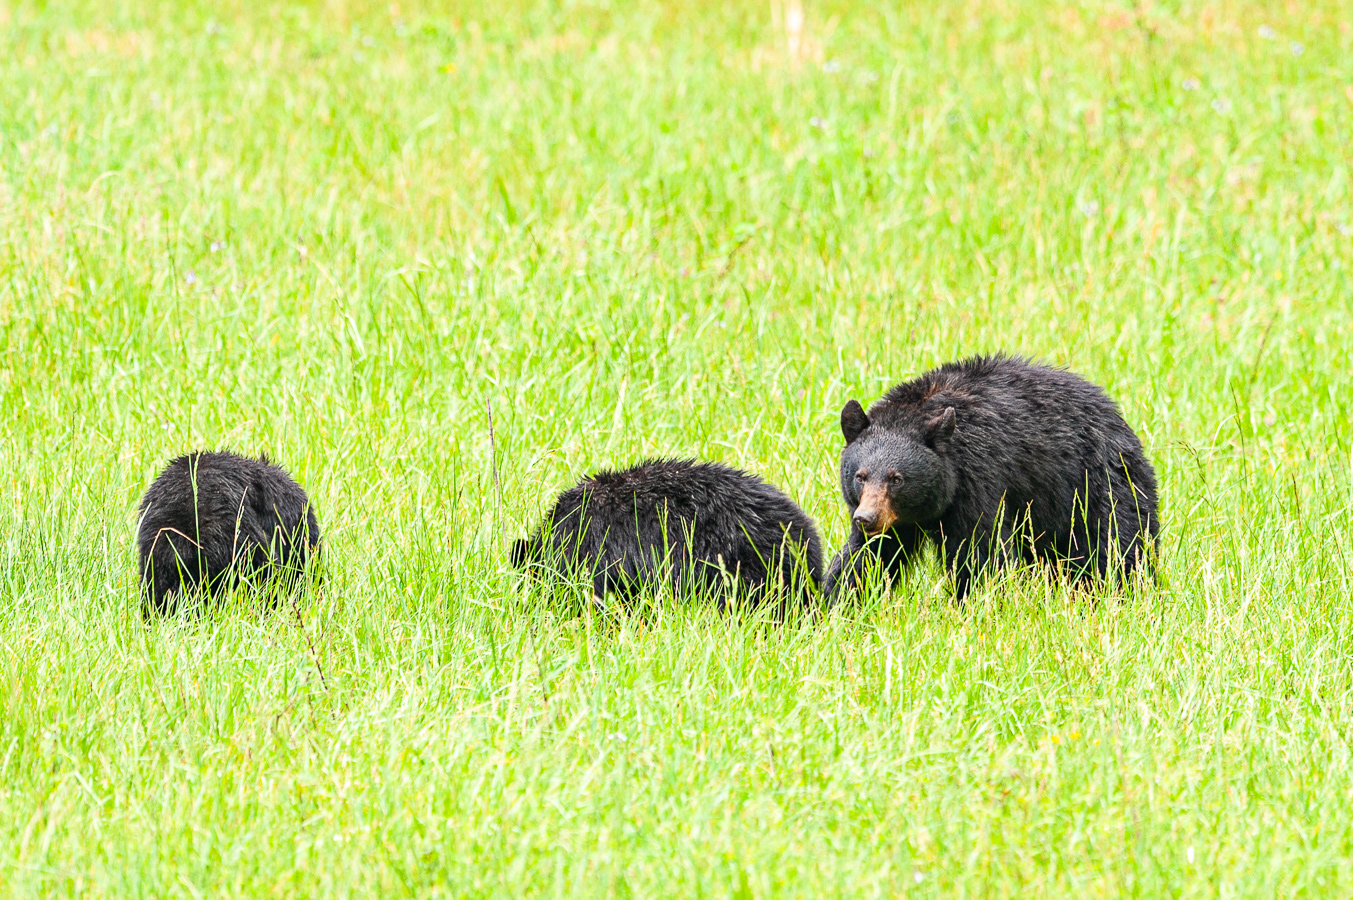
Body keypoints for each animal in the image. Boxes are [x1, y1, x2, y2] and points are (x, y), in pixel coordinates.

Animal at [823, 355, 1159, 601]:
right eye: (860, 476)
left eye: (897, 479)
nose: (866, 518)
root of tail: (1118, 417)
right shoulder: (895, 521)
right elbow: (868, 557)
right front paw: (837, 603)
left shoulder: (979, 473)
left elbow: (980, 548)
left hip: (1100, 481)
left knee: (1118, 540)